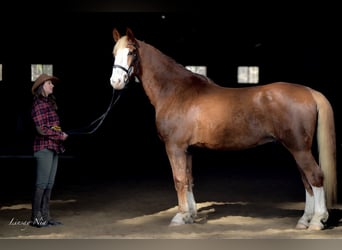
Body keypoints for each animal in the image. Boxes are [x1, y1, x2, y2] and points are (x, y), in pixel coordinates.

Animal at [109, 27, 336, 230]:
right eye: (114, 53)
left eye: (131, 52)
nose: (116, 82)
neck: (176, 91)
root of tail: (309, 91)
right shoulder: (188, 150)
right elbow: (189, 179)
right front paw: (191, 215)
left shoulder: (175, 147)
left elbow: (179, 179)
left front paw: (180, 217)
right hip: (296, 149)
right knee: (306, 180)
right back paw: (305, 220)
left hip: (299, 149)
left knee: (315, 176)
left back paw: (317, 221)